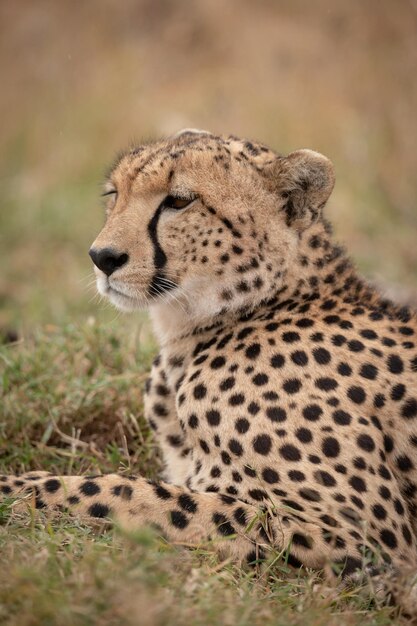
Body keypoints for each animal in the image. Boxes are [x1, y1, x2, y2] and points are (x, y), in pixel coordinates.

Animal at [2, 130, 416, 604]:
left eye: (179, 201)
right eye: (114, 194)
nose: (102, 257)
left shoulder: (370, 545)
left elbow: (132, 491)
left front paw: (16, 489)